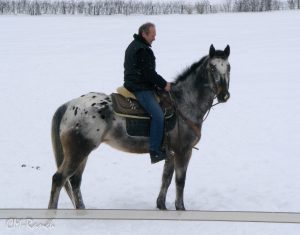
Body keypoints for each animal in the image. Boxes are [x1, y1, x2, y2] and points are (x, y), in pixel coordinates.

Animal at [48, 44, 231, 209]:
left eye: (228, 67)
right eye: (212, 67)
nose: (224, 95)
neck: (183, 103)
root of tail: (69, 105)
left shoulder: (171, 153)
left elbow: (166, 178)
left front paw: (161, 205)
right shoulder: (183, 151)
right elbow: (180, 181)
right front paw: (180, 208)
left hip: (83, 152)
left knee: (75, 181)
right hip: (78, 151)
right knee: (59, 179)